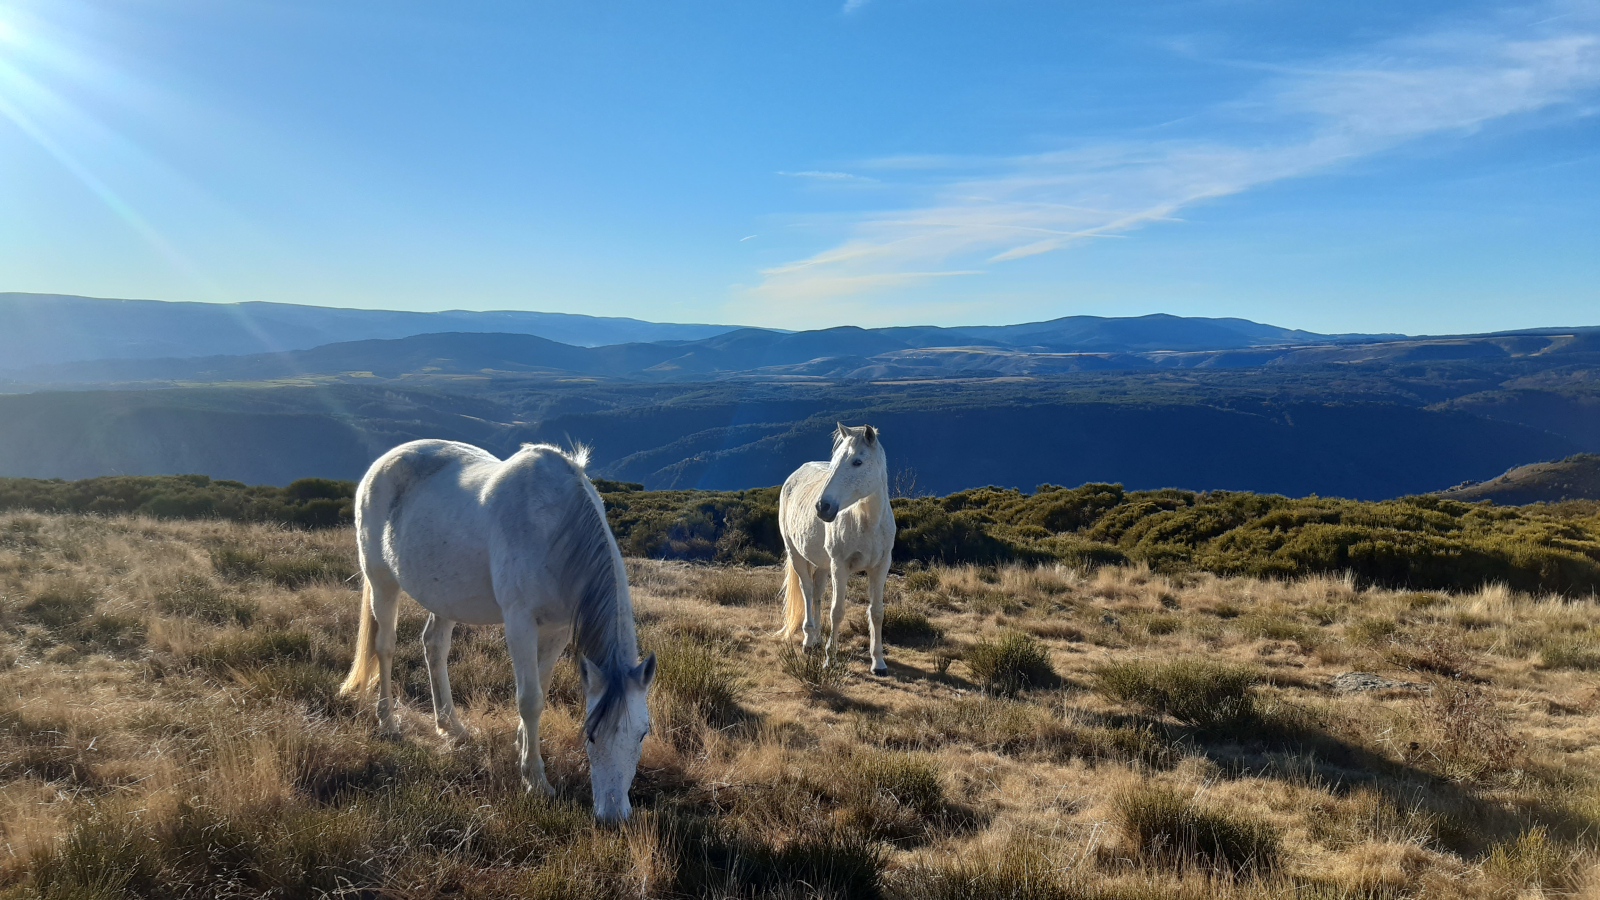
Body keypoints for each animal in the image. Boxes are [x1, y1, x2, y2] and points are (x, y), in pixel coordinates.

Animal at [340, 435, 659, 819]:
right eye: (591, 735)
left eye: (642, 734)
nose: (613, 815)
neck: (556, 528)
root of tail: (382, 463)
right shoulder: (519, 622)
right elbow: (529, 699)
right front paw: (535, 779)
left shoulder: (557, 630)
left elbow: (541, 688)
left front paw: (523, 745)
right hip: (381, 581)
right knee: (385, 646)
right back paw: (388, 722)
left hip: (445, 595)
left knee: (434, 646)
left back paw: (451, 727)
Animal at [777, 422, 902, 672]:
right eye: (834, 462)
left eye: (857, 462)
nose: (822, 507)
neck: (866, 522)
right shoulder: (840, 567)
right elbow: (837, 612)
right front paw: (830, 658)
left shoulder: (880, 567)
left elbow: (877, 612)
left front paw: (879, 662)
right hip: (797, 555)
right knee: (807, 591)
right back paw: (809, 640)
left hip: (823, 565)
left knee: (816, 594)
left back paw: (816, 638)